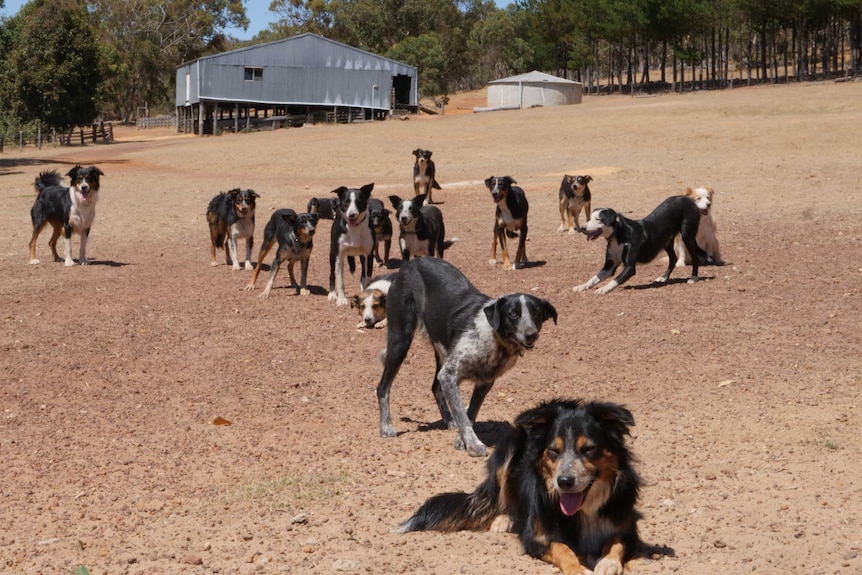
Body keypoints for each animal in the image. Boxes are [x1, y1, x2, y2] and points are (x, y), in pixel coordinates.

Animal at [380, 258, 560, 456]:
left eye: (536, 314)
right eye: (513, 314)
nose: (531, 335)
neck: (495, 339)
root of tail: (408, 264)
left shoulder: (484, 382)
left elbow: (470, 412)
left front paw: (462, 439)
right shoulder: (449, 375)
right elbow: (463, 414)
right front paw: (473, 444)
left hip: (442, 351)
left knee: (435, 386)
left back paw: (449, 420)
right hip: (400, 341)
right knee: (383, 387)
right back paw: (386, 427)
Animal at [402, 398, 644, 575]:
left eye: (589, 449)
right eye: (553, 451)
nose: (564, 482)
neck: (584, 509)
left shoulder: (626, 528)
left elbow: (616, 543)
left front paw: (607, 562)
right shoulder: (536, 536)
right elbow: (562, 548)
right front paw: (579, 570)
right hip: (508, 450)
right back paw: (504, 520)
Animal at [572, 197, 708, 296]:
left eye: (598, 219)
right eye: (590, 218)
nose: (582, 228)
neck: (618, 236)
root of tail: (689, 200)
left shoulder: (629, 267)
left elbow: (615, 280)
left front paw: (603, 289)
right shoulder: (609, 265)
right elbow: (594, 278)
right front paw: (581, 286)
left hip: (687, 236)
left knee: (694, 257)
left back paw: (693, 277)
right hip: (666, 242)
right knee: (673, 259)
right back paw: (664, 278)